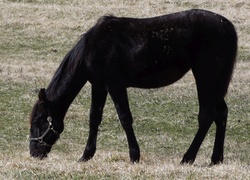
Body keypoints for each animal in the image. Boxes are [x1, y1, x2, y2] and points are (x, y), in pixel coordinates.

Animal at [28, 9, 237, 165]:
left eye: (38, 120)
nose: (34, 153)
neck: (92, 47)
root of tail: (227, 25)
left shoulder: (115, 85)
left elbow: (125, 118)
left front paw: (134, 156)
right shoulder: (99, 86)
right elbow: (94, 118)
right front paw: (86, 155)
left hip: (206, 76)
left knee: (207, 115)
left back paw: (188, 158)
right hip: (215, 82)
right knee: (221, 114)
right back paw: (215, 159)